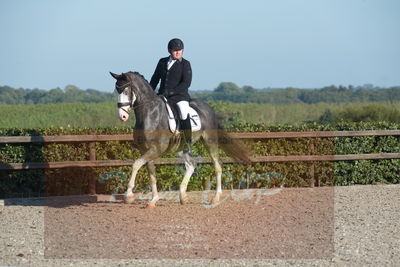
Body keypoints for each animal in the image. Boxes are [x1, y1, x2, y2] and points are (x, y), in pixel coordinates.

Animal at [109, 71, 252, 209]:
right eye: (117, 90)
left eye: (126, 91)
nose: (122, 116)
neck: (150, 114)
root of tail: (209, 109)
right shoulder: (146, 151)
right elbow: (151, 174)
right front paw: (153, 200)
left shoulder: (155, 150)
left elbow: (136, 164)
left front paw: (129, 195)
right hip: (181, 148)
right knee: (191, 164)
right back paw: (183, 196)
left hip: (209, 141)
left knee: (217, 165)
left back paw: (215, 198)